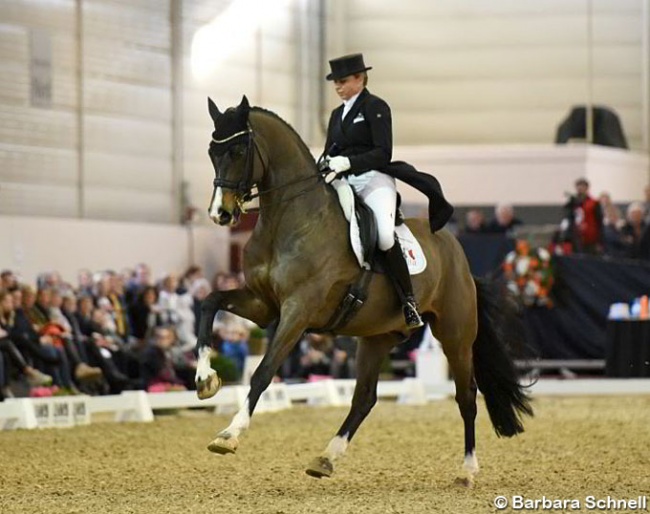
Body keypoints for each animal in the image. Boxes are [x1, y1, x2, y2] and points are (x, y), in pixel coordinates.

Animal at [194, 96, 532, 484]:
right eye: (211, 151)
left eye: (237, 150)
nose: (220, 213)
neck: (289, 220)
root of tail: (456, 250)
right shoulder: (264, 305)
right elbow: (209, 302)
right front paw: (205, 379)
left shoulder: (298, 310)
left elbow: (263, 371)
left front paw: (229, 434)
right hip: (377, 337)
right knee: (365, 398)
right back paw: (326, 458)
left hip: (455, 335)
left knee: (466, 396)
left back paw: (467, 470)